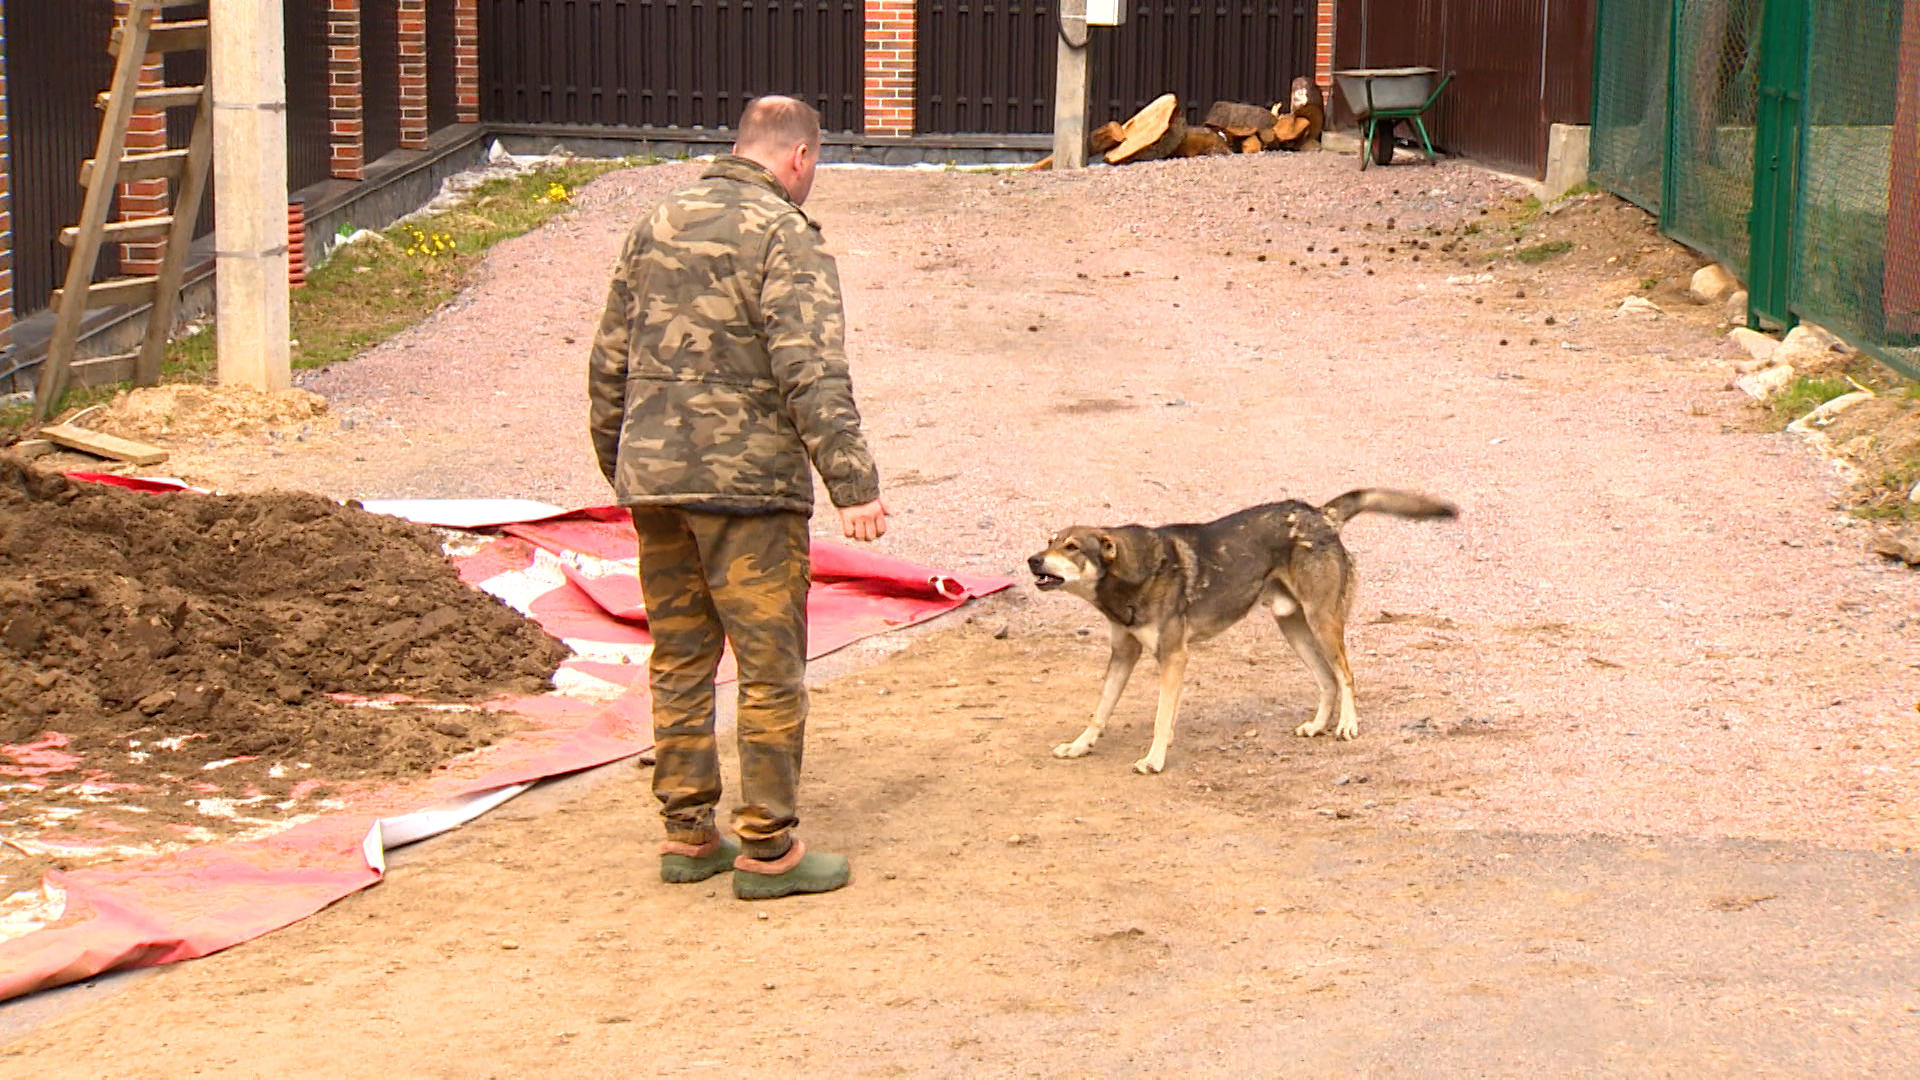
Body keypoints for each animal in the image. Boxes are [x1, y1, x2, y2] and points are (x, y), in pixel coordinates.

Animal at [1036, 488, 1451, 772]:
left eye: (1072, 547)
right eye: (1050, 541)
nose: (1032, 560)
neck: (1130, 577)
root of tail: (1319, 514)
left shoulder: (1173, 657)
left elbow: (1160, 718)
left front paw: (1153, 760)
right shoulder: (1124, 654)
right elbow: (1100, 710)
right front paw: (1079, 746)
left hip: (1322, 622)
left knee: (1345, 674)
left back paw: (1348, 725)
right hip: (1294, 630)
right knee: (1327, 680)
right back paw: (1318, 726)